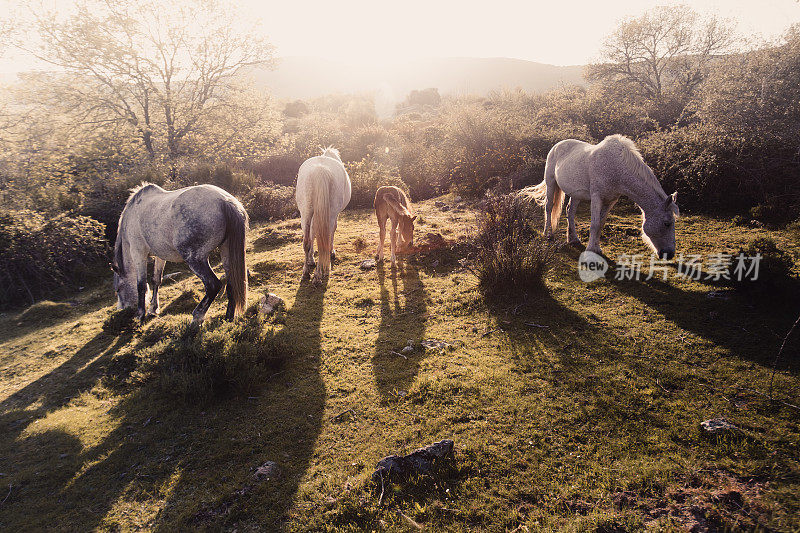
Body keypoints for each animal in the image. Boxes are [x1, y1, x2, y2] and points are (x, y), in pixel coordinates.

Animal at [110, 183, 247, 324]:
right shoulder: (160, 255)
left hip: (194, 259)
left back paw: (197, 317)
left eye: (118, 289)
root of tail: (225, 200)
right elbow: (156, 280)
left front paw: (140, 315)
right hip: (226, 251)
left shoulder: (138, 254)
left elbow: (141, 285)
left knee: (213, 285)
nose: (122, 309)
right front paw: (153, 309)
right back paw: (228, 317)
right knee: (231, 284)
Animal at [296, 145, 352, 282]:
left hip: (305, 213)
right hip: (330, 214)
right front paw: (331, 253)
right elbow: (333, 230)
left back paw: (306, 273)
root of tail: (320, 170)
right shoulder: (335, 215)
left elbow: (312, 233)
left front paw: (311, 259)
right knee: (326, 236)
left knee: (306, 241)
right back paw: (320, 273)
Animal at [520, 133, 680, 258]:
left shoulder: (611, 200)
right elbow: (595, 224)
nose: (670, 254)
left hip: (576, 194)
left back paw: (573, 239)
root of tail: (557, 145)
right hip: (551, 182)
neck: (616, 167)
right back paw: (548, 234)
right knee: (549, 207)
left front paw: (597, 248)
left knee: (570, 211)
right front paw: (591, 249)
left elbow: (601, 224)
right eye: (667, 223)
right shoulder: (597, 197)